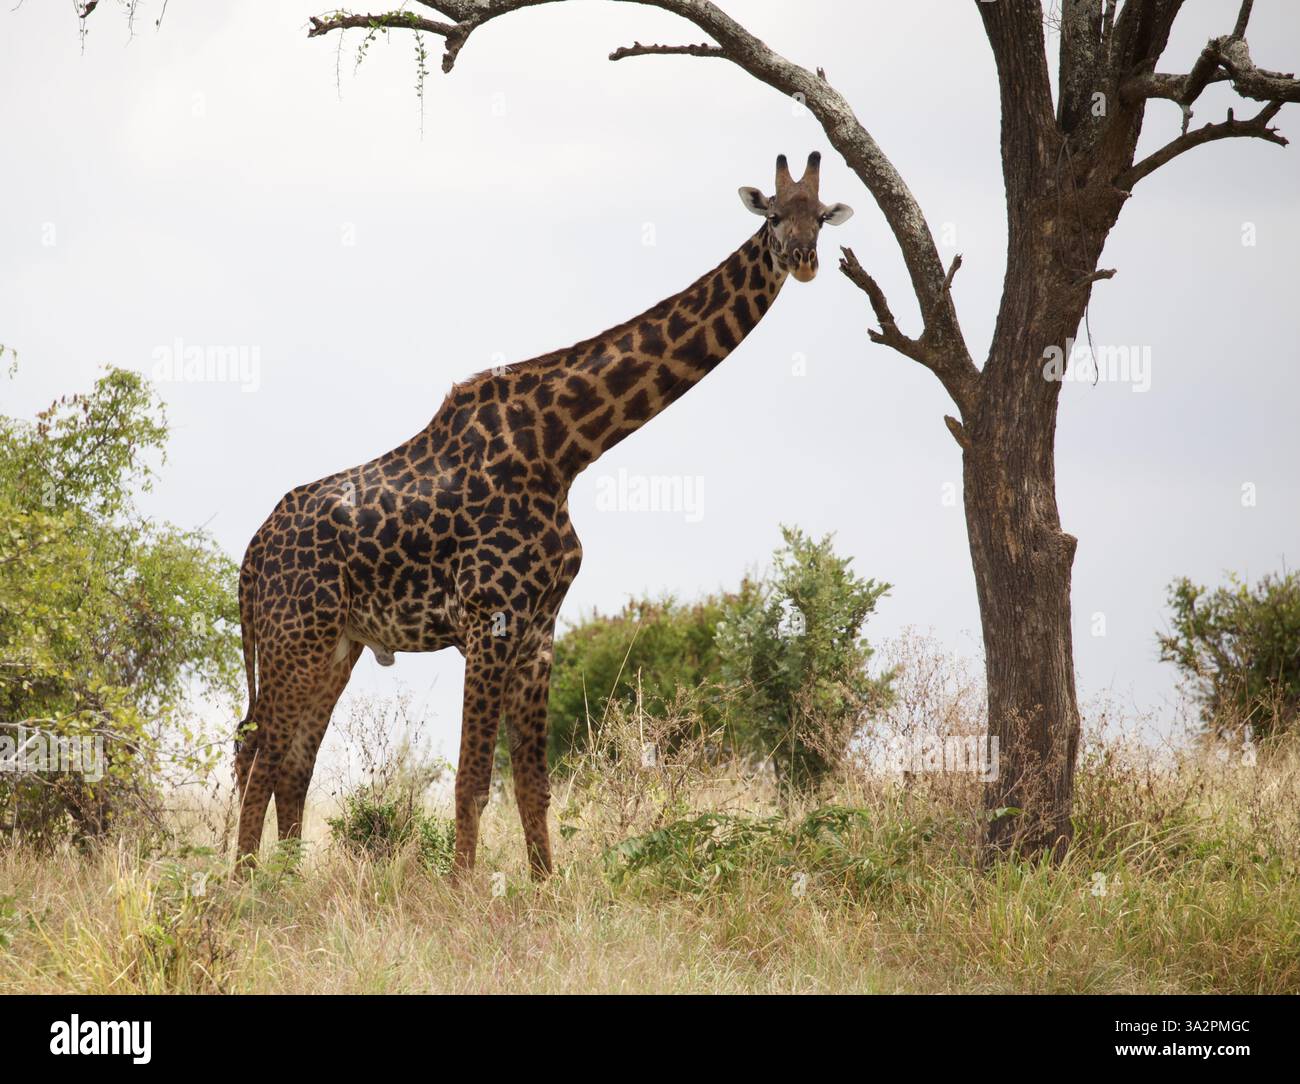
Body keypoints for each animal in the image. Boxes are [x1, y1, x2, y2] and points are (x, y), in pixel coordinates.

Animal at [235, 152, 853, 877]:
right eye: (775, 215)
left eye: (822, 216)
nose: (804, 258)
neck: (563, 450)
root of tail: (250, 557)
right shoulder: (488, 619)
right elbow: (474, 780)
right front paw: (462, 891)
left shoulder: (538, 630)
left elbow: (534, 786)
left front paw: (544, 888)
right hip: (293, 637)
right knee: (258, 753)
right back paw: (243, 887)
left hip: (336, 643)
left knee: (287, 762)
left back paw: (281, 882)